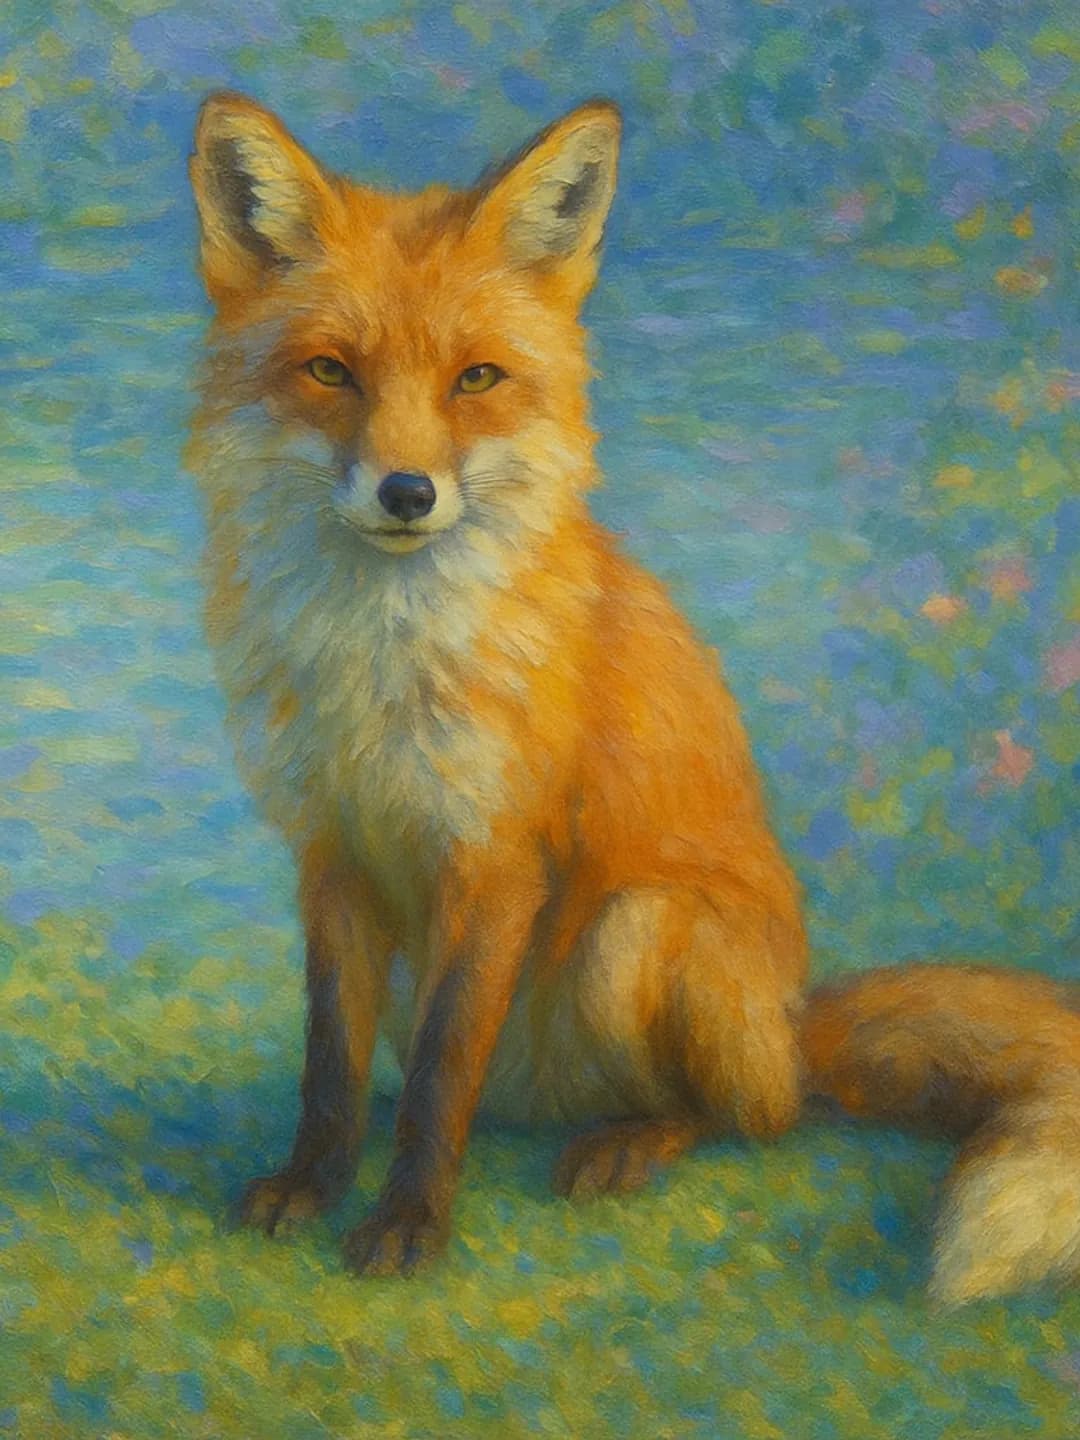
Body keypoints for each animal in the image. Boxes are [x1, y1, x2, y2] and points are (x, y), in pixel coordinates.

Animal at [186, 92, 1080, 1304]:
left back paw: (631, 1143)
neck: (379, 658)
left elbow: (440, 1072)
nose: (408, 493)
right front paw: (312, 1185)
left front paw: (409, 1223)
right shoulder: (332, 849)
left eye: (476, 379)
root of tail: (796, 1020)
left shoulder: (497, 855)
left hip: (637, 929)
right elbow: (333, 1063)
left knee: (752, 1117)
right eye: (331, 373)